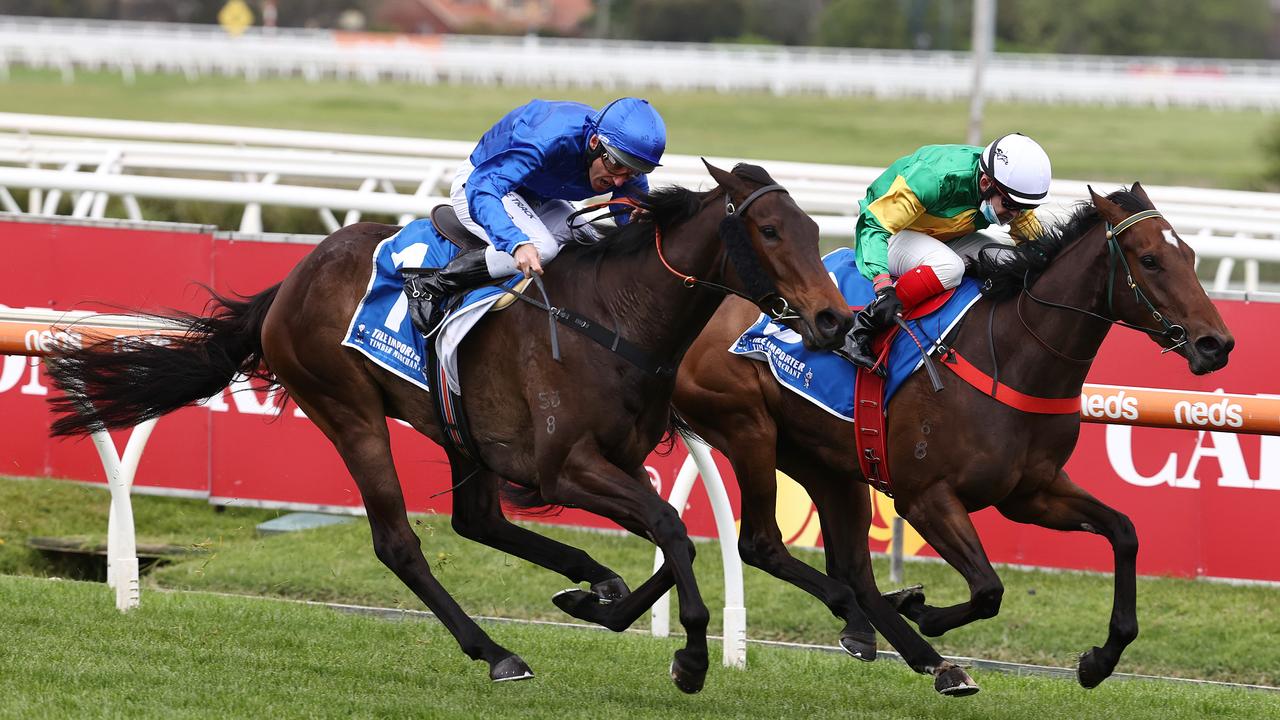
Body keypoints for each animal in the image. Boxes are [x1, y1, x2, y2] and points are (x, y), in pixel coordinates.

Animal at [45, 161, 855, 691]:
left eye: (816, 228)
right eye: (771, 230)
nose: (833, 319)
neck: (616, 318)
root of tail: (294, 279)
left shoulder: (613, 460)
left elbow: (668, 537)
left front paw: (600, 601)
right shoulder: (566, 467)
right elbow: (673, 529)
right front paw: (689, 656)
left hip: (458, 426)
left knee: (477, 520)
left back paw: (583, 581)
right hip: (348, 408)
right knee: (400, 543)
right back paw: (495, 651)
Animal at [670, 181, 1228, 691]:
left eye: (1190, 256)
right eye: (1150, 260)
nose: (1216, 344)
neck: (1012, 355)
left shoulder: (1031, 493)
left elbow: (1124, 532)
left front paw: (1099, 659)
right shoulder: (925, 497)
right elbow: (988, 588)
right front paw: (925, 611)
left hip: (824, 460)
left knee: (852, 568)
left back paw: (889, 639)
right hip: (749, 428)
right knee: (762, 544)